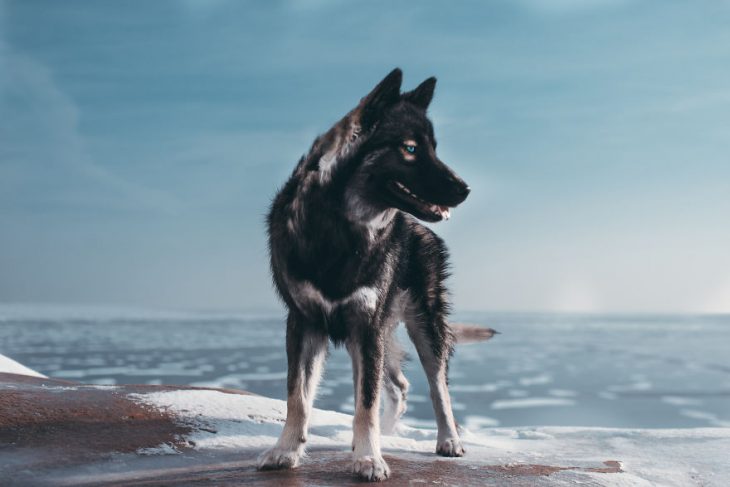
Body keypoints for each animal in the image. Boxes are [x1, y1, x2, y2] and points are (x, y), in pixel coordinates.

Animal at [258, 68, 470, 484]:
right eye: (410, 149)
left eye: (433, 148)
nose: (465, 188)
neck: (340, 231)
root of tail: (422, 231)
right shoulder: (303, 323)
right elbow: (297, 397)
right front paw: (285, 451)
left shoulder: (366, 326)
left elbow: (366, 402)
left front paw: (369, 458)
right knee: (398, 385)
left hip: (422, 325)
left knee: (437, 385)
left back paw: (447, 440)